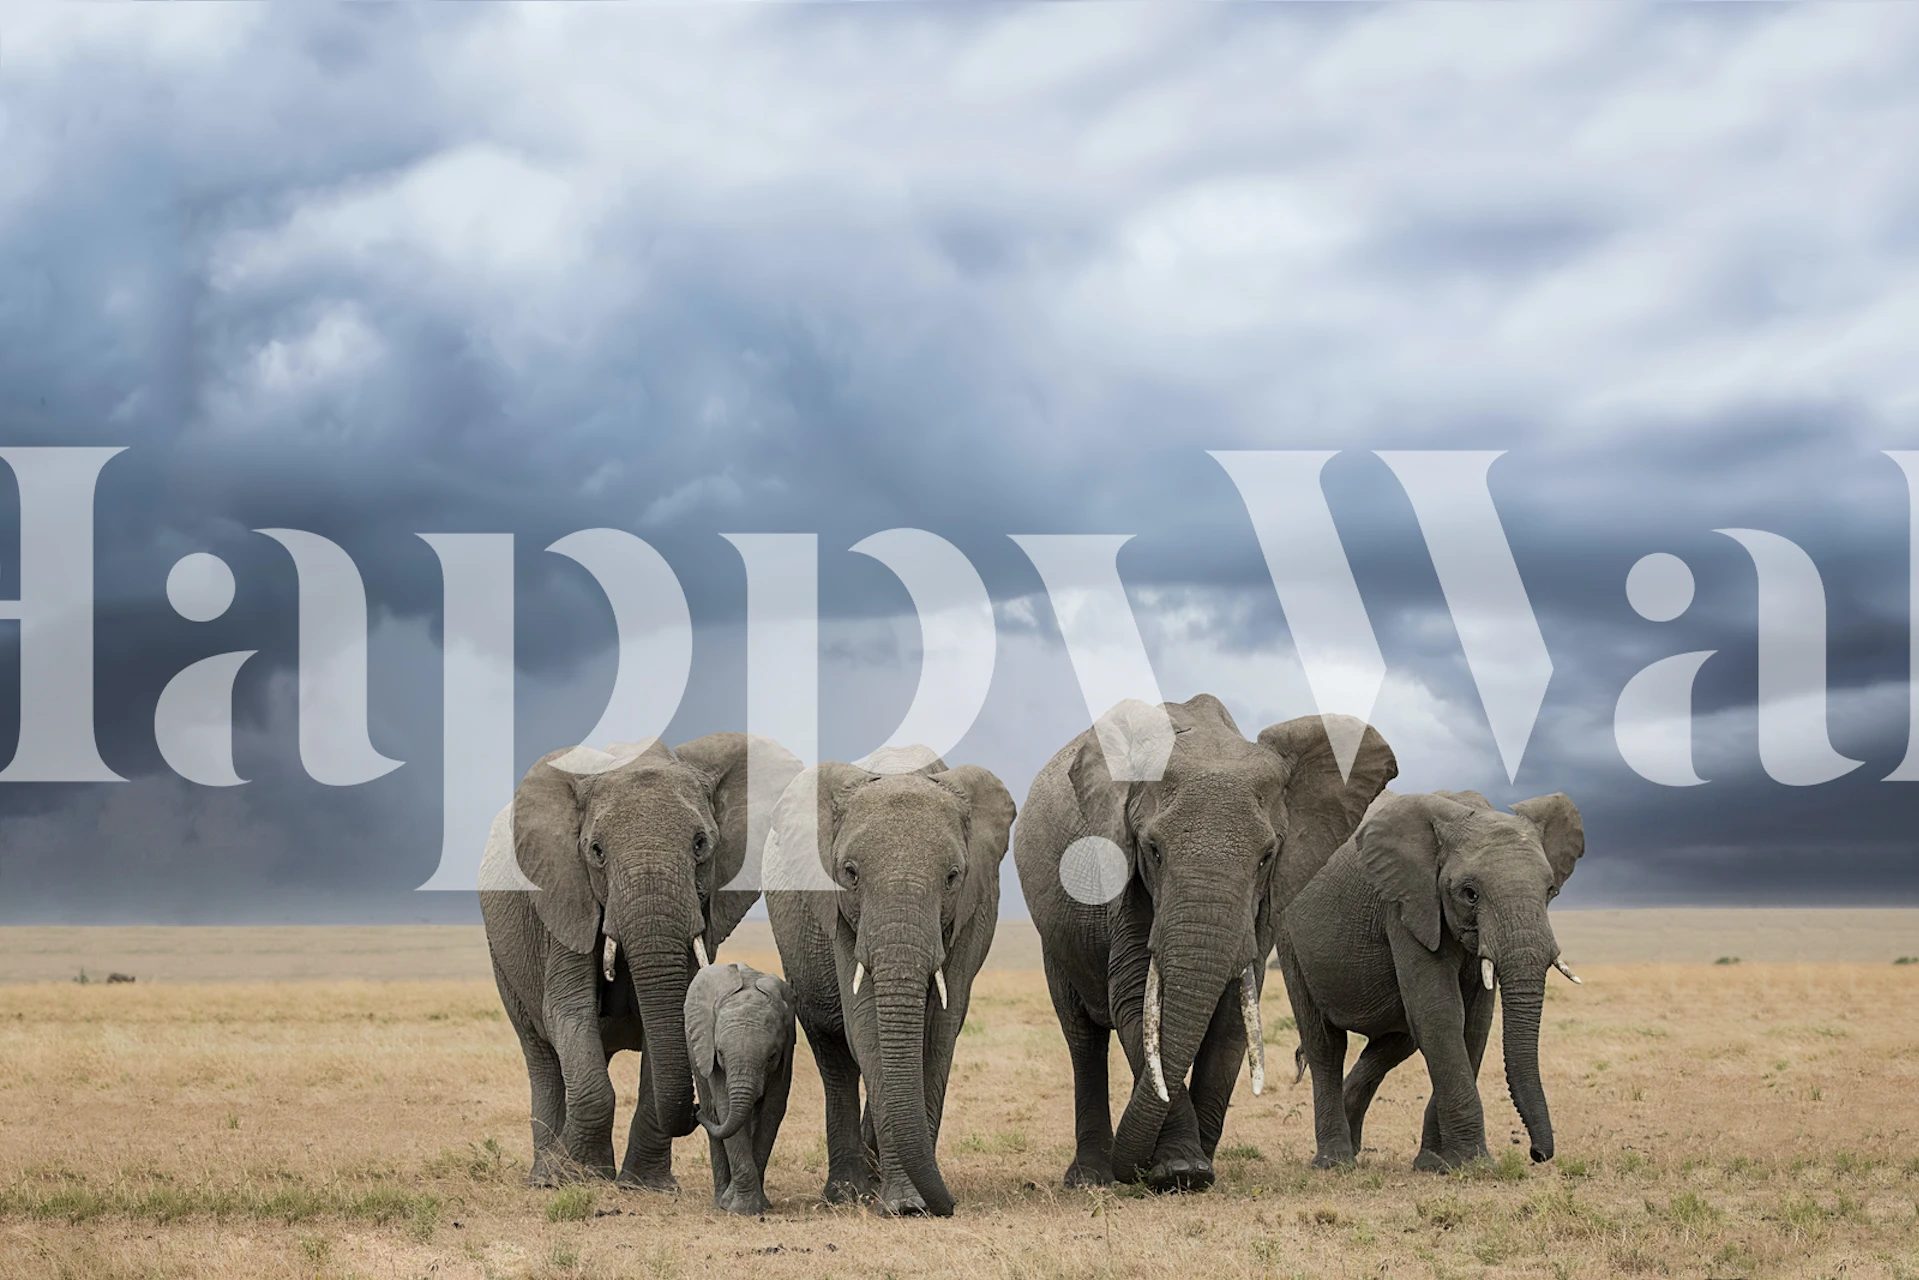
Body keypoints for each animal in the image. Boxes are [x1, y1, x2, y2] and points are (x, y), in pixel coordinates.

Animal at [481, 732, 801, 1188]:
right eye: (596, 851)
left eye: (701, 844)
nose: (698, 1111)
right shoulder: (566, 896)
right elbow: (568, 1012)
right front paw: (578, 1178)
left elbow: (676, 1017)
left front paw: (645, 1186)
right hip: (503, 956)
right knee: (541, 1055)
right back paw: (547, 1176)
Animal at [684, 961, 797, 1216]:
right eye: (720, 1054)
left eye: (771, 1057)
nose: (694, 1110)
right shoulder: (711, 1055)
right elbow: (726, 1108)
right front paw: (737, 1207)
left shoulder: (787, 1053)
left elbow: (773, 1110)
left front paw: (754, 1206)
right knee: (715, 1114)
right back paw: (719, 1200)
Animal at [765, 751, 1015, 1217]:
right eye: (850, 873)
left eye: (953, 877)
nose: (949, 1203)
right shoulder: (840, 916)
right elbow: (866, 1028)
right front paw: (905, 1204)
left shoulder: (973, 910)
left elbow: (938, 1031)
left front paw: (913, 1202)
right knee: (833, 1052)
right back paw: (846, 1193)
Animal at [1016, 695, 1397, 1192]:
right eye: (1153, 850)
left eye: (1266, 856)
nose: (1131, 1170)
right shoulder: (1125, 884)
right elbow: (1136, 1000)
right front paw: (1182, 1170)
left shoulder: (1264, 905)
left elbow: (1233, 1013)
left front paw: (1194, 1166)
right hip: (1056, 933)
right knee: (1082, 1037)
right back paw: (1090, 1178)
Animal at [1274, 789, 1585, 1172]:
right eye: (1470, 893)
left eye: (1551, 890)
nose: (1537, 1154)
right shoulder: (1406, 905)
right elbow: (1441, 1014)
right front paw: (1475, 1164)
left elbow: (1473, 1025)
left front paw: (1435, 1164)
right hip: (1289, 937)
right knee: (1325, 1045)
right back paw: (1335, 1162)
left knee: (1396, 1043)